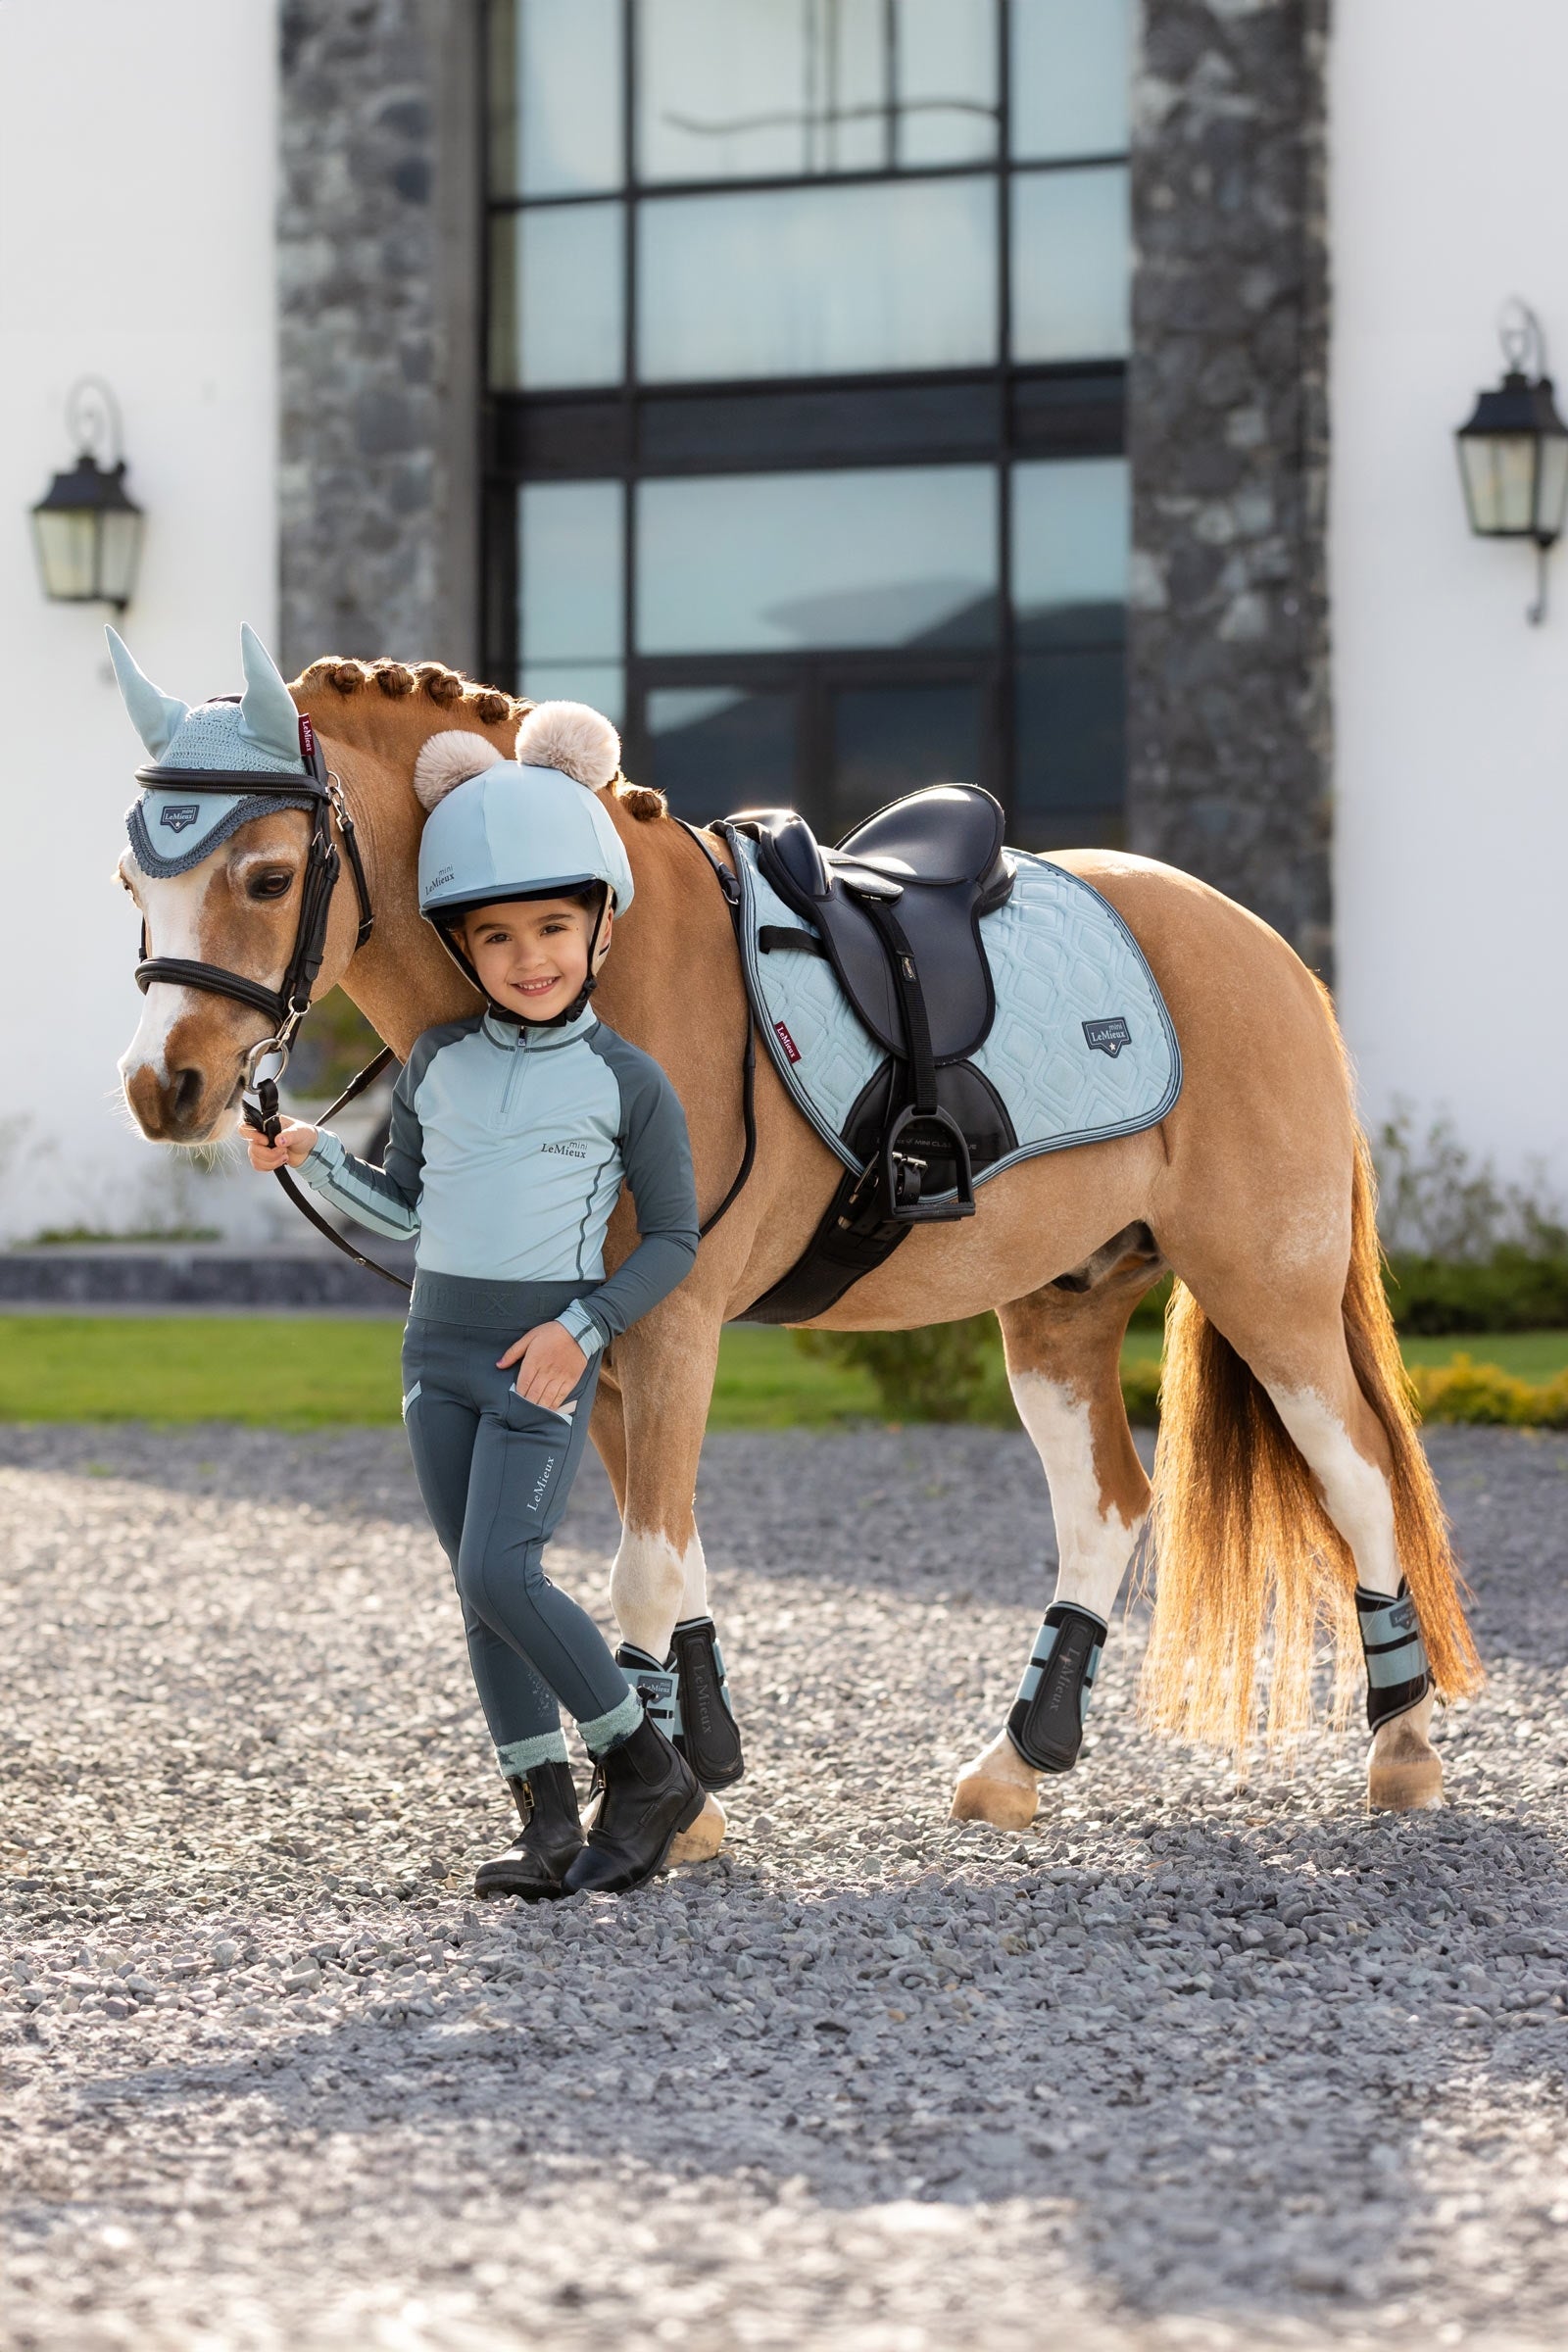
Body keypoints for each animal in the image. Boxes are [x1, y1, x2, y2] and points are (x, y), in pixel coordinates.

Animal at [114, 642, 1482, 1854]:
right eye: (135, 883)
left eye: (269, 878)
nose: (161, 1088)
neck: (595, 979)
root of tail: (1260, 947)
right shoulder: (603, 1352)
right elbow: (672, 1559)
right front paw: (693, 1775)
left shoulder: (666, 1326)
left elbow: (643, 1571)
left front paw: (661, 1813)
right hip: (1058, 1307)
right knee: (1107, 1502)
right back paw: (1016, 1760)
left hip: (1268, 1289)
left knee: (1358, 1474)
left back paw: (1402, 1748)